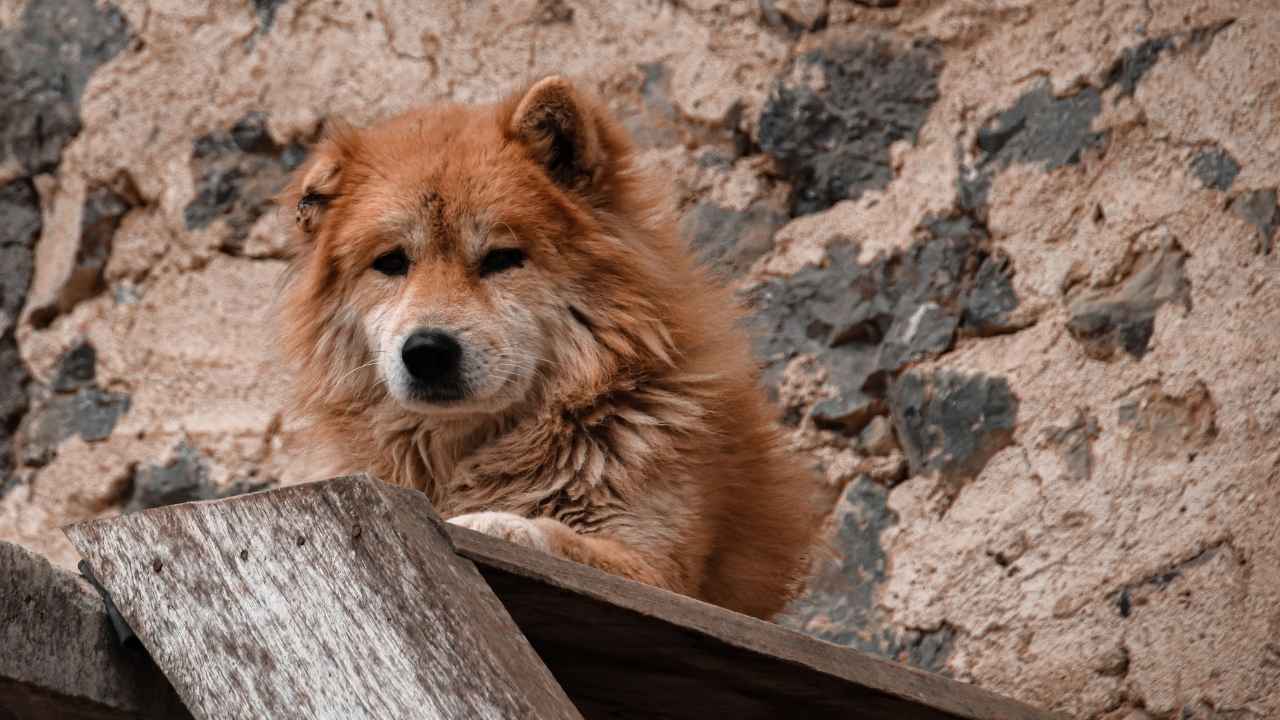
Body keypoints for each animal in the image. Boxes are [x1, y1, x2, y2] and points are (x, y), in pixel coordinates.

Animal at [280, 74, 819, 617]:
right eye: (391, 262)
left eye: (502, 258)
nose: (427, 350)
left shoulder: (661, 574)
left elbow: (557, 538)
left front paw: (497, 522)